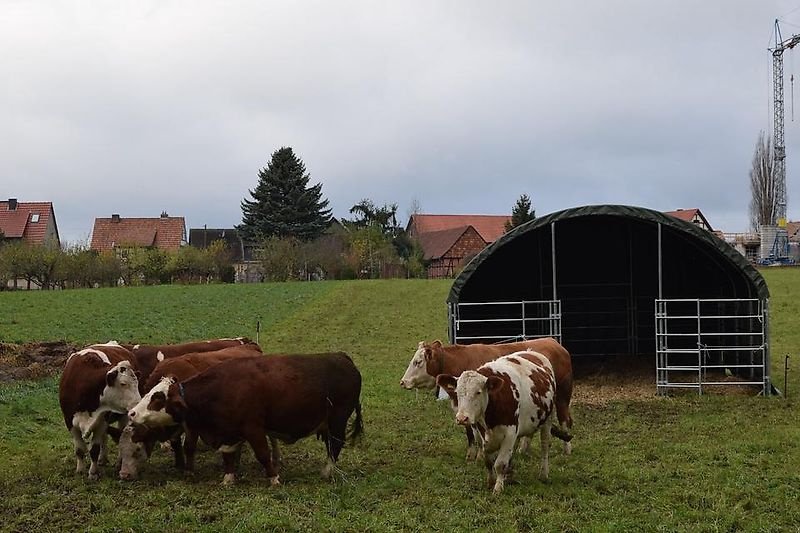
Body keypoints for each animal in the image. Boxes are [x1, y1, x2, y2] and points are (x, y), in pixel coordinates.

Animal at [58, 341, 141, 480]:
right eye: (123, 384)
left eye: (137, 383)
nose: (138, 404)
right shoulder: (69, 421)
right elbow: (79, 449)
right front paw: (80, 470)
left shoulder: (101, 421)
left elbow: (94, 450)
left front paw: (93, 473)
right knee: (104, 438)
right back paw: (103, 459)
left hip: (123, 416)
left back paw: (118, 462)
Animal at [118, 344, 264, 480]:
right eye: (121, 449)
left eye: (137, 449)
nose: (124, 475)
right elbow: (176, 442)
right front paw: (179, 465)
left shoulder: (191, 424)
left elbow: (188, 446)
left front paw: (188, 471)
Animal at [128, 352, 363, 486]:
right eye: (151, 393)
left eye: (157, 398)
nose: (132, 413)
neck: (221, 388)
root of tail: (342, 357)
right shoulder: (228, 431)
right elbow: (228, 456)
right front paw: (229, 478)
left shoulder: (253, 428)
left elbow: (263, 454)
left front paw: (274, 478)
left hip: (338, 420)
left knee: (335, 445)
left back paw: (327, 472)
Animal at [400, 337, 573, 458]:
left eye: (418, 362)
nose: (403, 382)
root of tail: (554, 342)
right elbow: (470, 433)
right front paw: (471, 455)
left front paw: (478, 455)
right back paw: (523, 449)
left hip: (562, 397)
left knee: (565, 420)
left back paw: (567, 449)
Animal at [436, 349, 559, 494]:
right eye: (457, 392)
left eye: (478, 392)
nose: (462, 418)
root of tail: (532, 351)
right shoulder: (482, 434)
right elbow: (488, 460)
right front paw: (491, 481)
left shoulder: (510, 432)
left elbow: (500, 464)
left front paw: (498, 488)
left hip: (548, 419)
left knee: (545, 447)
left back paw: (543, 474)